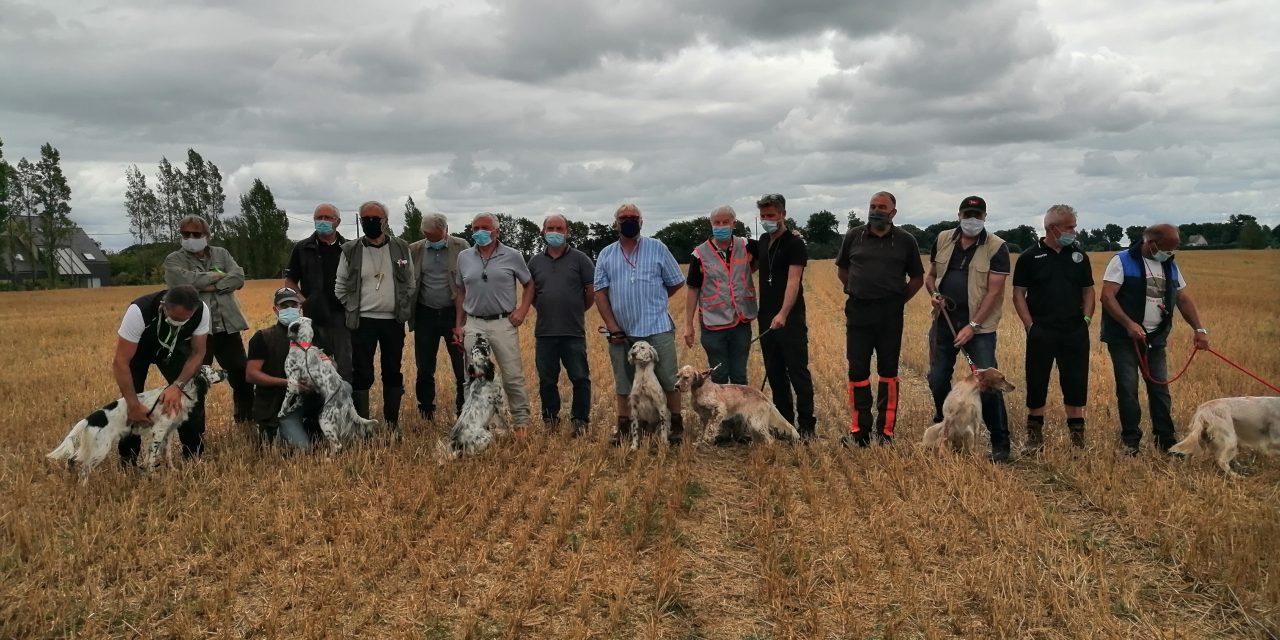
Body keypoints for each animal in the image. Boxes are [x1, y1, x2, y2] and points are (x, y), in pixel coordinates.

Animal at [48, 366, 230, 481]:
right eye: (213, 370)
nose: (225, 371)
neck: (184, 393)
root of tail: (90, 418)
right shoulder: (158, 431)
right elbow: (152, 457)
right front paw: (153, 475)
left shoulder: (168, 433)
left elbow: (166, 455)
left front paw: (171, 471)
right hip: (100, 449)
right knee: (84, 469)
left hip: (90, 448)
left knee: (72, 459)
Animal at [280, 317, 378, 453]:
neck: (303, 345)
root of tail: (347, 400)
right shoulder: (303, 386)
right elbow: (298, 401)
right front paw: (291, 409)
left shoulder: (292, 381)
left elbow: (285, 402)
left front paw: (281, 413)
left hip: (324, 419)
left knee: (338, 445)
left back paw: (328, 456)